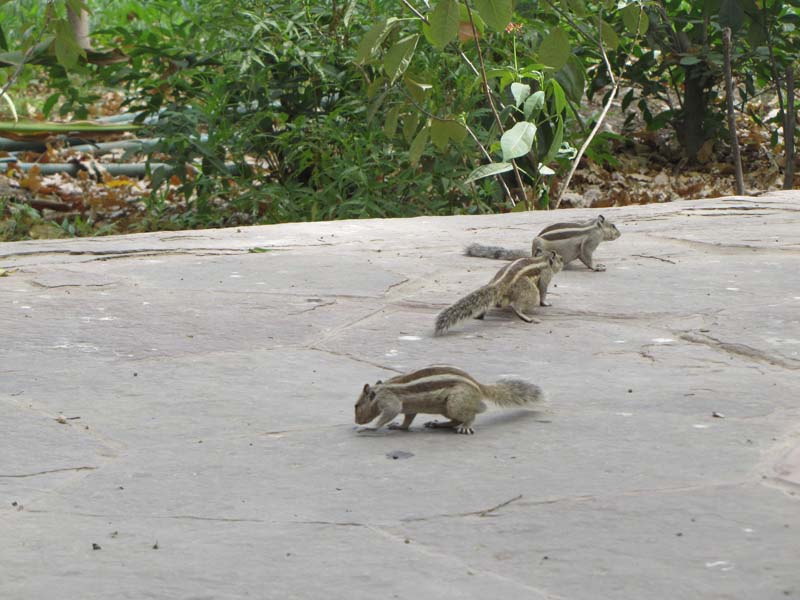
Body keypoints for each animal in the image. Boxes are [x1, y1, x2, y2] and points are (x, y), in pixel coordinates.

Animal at [356, 364, 544, 434]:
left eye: (357, 405)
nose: (357, 421)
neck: (380, 389)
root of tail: (478, 386)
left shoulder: (389, 400)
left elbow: (391, 411)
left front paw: (370, 427)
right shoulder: (410, 409)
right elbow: (407, 420)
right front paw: (399, 426)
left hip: (455, 403)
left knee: (473, 413)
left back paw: (466, 426)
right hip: (446, 408)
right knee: (454, 420)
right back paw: (438, 424)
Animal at [432, 250, 564, 338]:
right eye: (560, 259)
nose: (564, 261)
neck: (543, 259)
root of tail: (501, 283)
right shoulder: (546, 276)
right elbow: (543, 291)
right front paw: (545, 303)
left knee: (487, 303)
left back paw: (479, 315)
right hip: (529, 289)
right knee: (518, 305)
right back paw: (526, 317)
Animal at [466, 214, 620, 270]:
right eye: (613, 226)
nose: (620, 234)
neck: (594, 226)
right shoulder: (590, 242)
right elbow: (587, 256)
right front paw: (596, 267)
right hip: (539, 245)